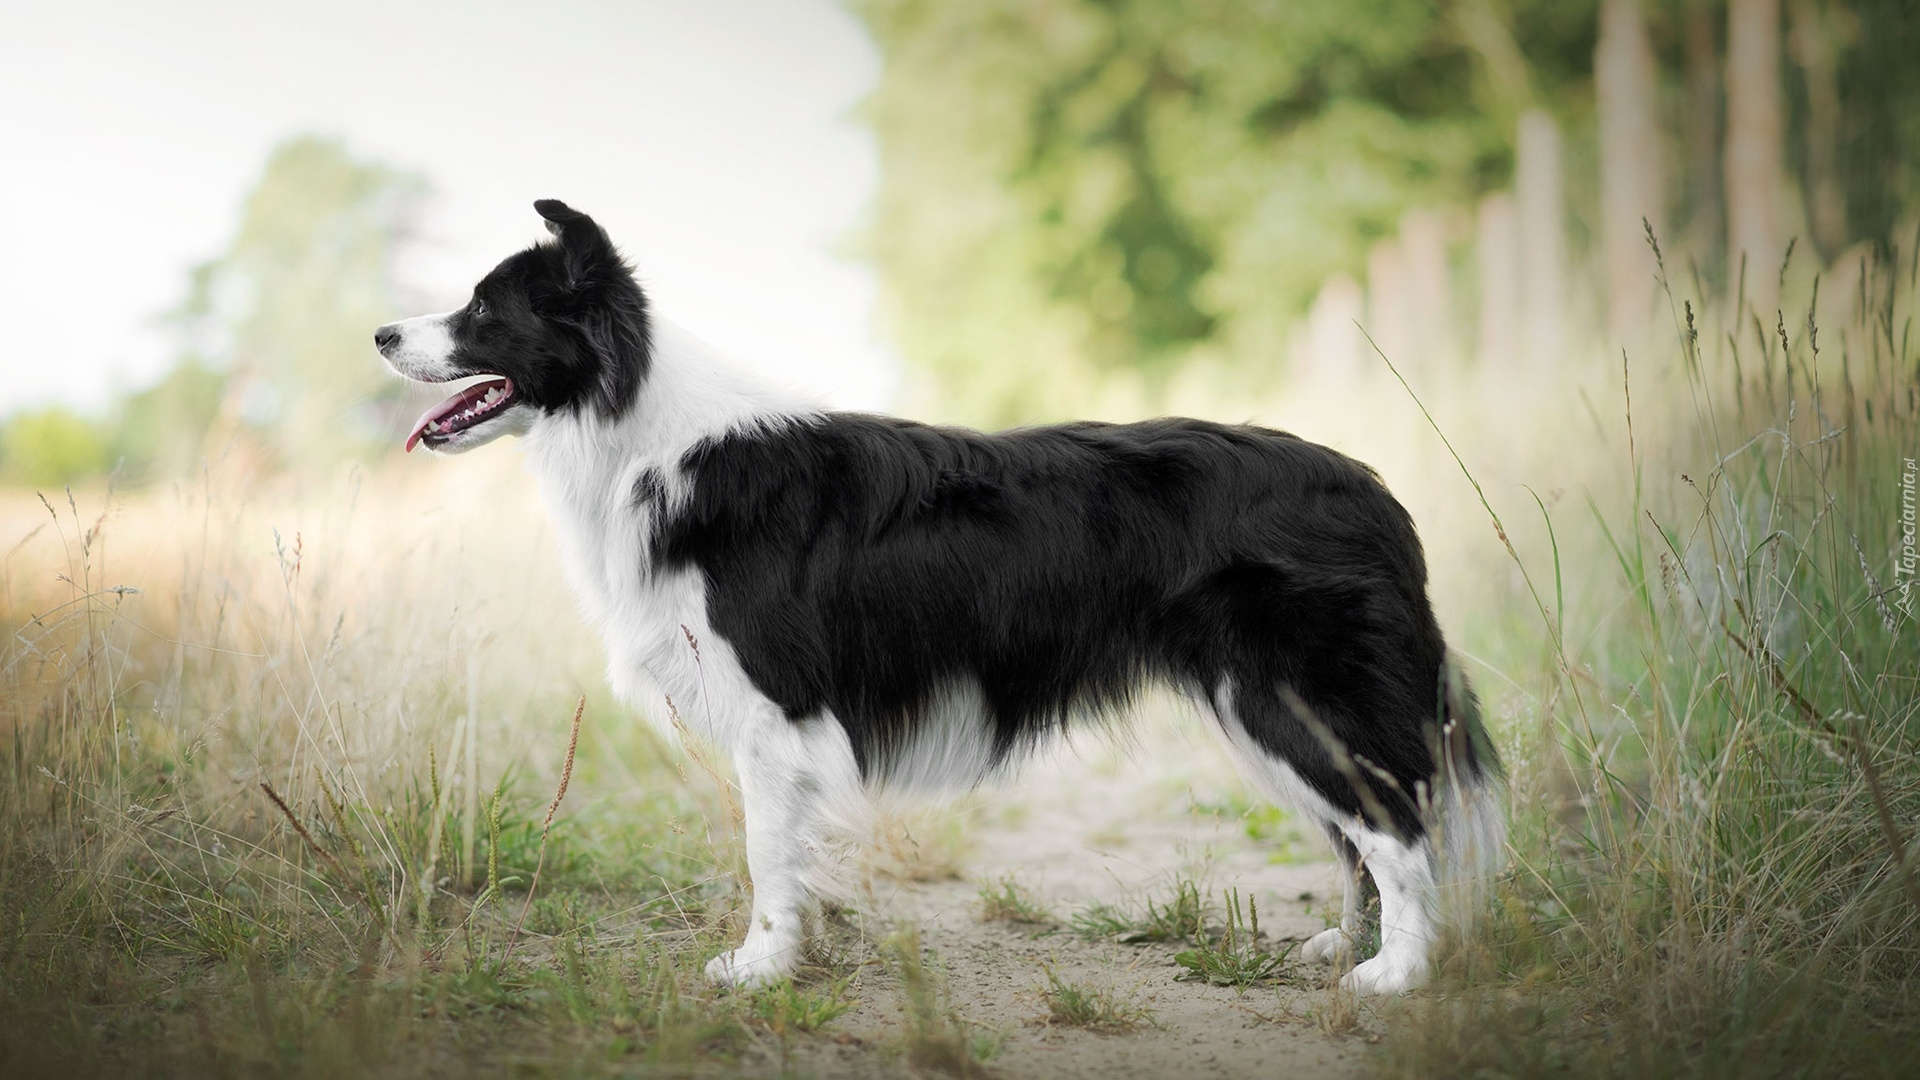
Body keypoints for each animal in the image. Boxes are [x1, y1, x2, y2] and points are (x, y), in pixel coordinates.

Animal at [374, 201, 1505, 991]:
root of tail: (1371, 489)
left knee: (1399, 829)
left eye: (483, 311)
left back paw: (1394, 979)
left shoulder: (774, 709)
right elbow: (787, 853)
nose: (381, 334)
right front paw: (796, 956)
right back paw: (1343, 949)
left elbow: (763, 851)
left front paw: (761, 970)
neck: (644, 435)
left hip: (1295, 696)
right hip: (1271, 710)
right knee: (1361, 834)